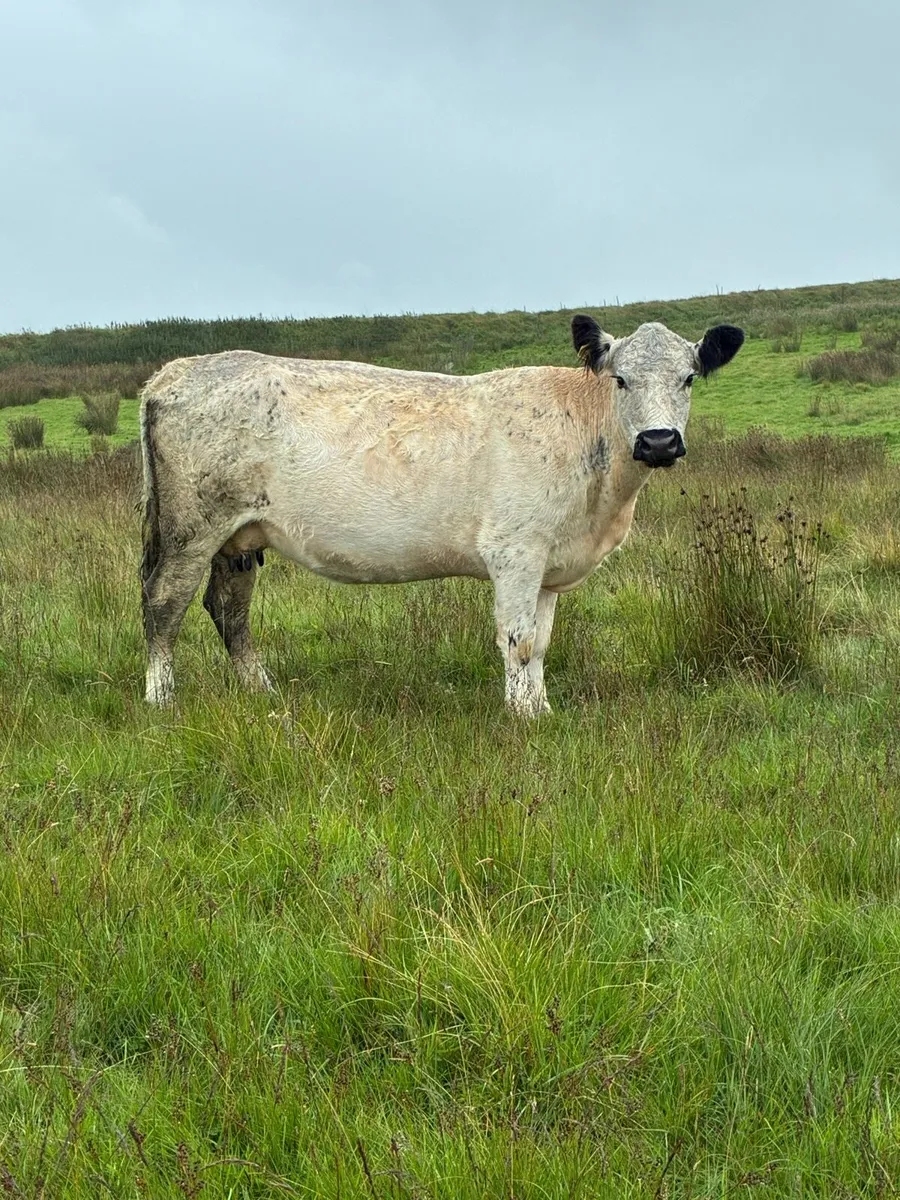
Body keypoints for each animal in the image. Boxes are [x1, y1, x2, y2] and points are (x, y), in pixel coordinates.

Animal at [139, 315, 743, 717]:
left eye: (689, 378)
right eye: (621, 379)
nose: (659, 441)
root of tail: (175, 371)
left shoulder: (550, 562)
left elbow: (542, 641)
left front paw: (541, 709)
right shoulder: (515, 550)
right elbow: (518, 638)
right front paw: (521, 717)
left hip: (239, 537)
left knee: (228, 610)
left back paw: (262, 691)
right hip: (190, 527)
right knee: (163, 604)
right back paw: (161, 699)